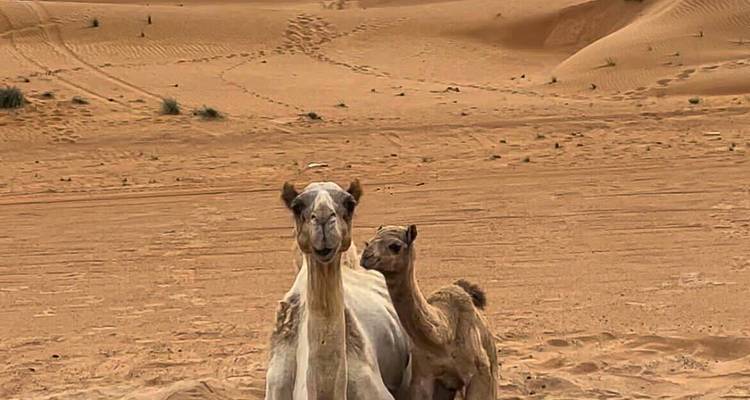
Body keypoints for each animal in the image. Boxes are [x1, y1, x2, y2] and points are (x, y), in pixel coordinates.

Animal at [360, 225, 497, 400]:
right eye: (368, 242)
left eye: (395, 246)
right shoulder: (423, 374)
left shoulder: (480, 372)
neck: (443, 337)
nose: (366, 257)